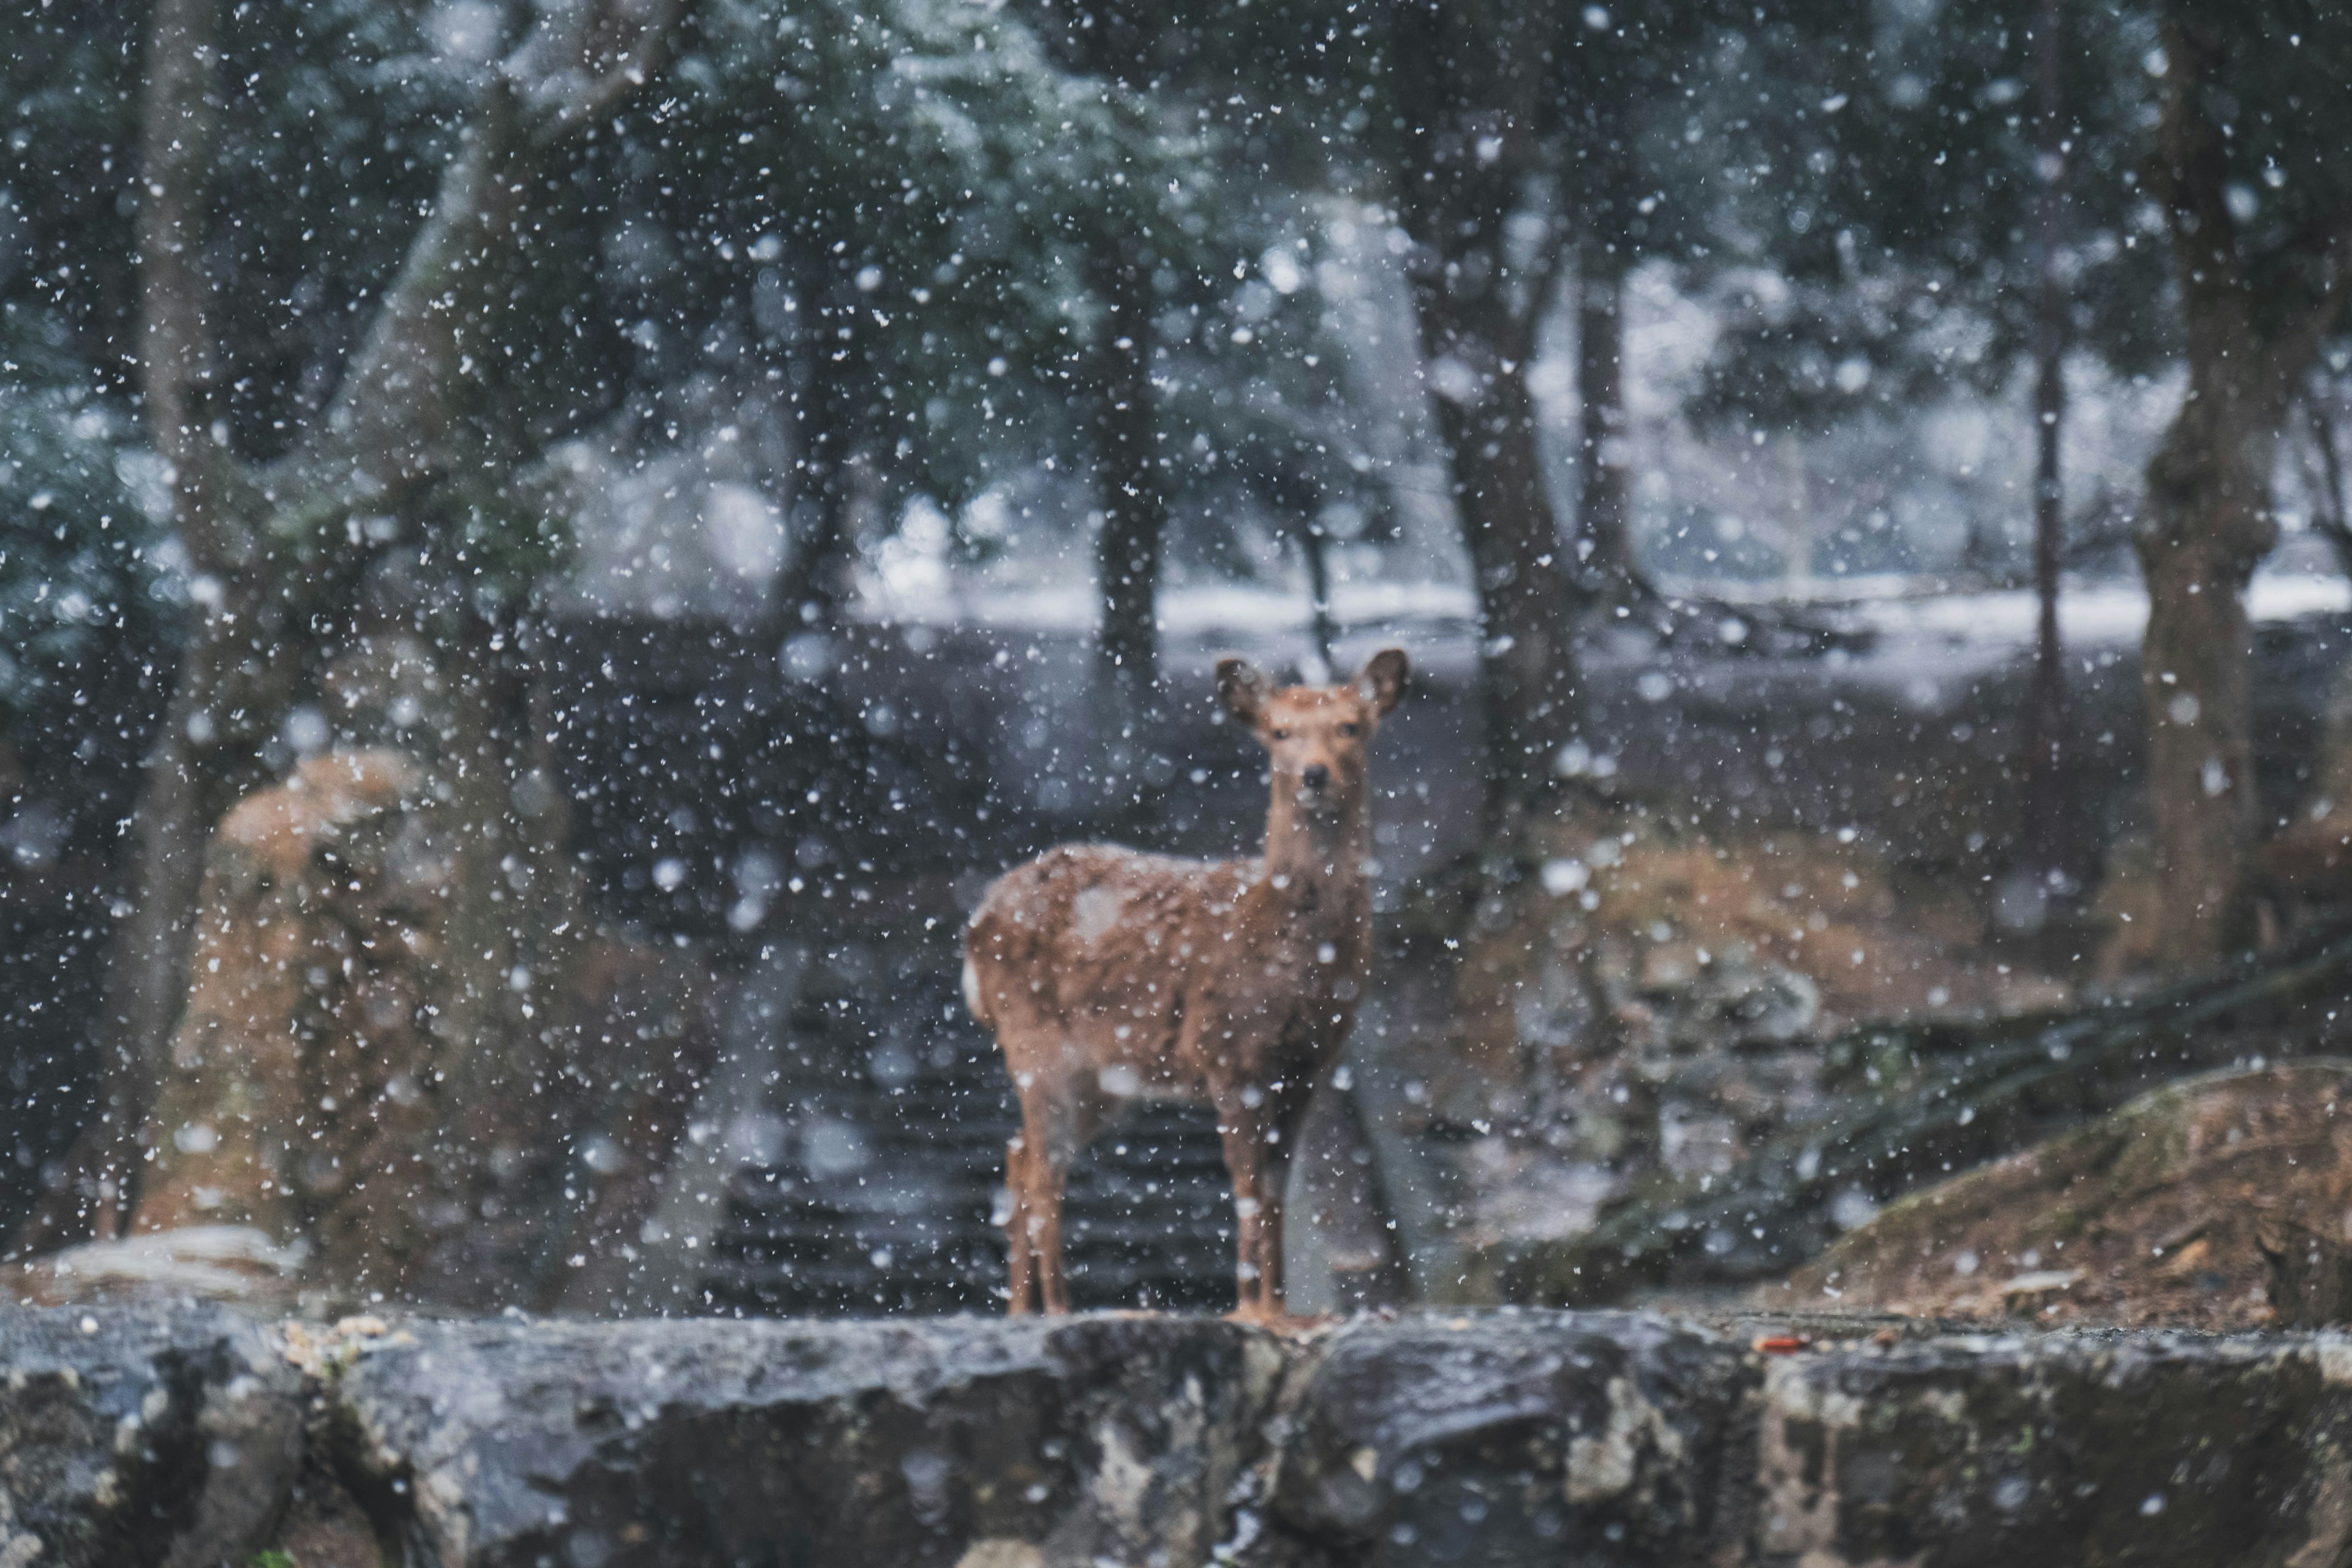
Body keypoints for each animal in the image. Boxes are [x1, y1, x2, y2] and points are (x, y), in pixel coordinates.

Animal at [964, 644, 1401, 1316]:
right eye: (1279, 732)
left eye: (1351, 726)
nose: (1313, 775)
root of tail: (976, 925)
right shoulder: (1227, 1051)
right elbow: (1245, 1181)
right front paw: (1250, 1308)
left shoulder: (1309, 1064)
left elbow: (1274, 1184)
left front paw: (1281, 1309)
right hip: (1038, 1043)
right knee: (1041, 1171)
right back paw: (1060, 1308)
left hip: (1104, 1076)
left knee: (1019, 1154)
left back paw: (1021, 1311)